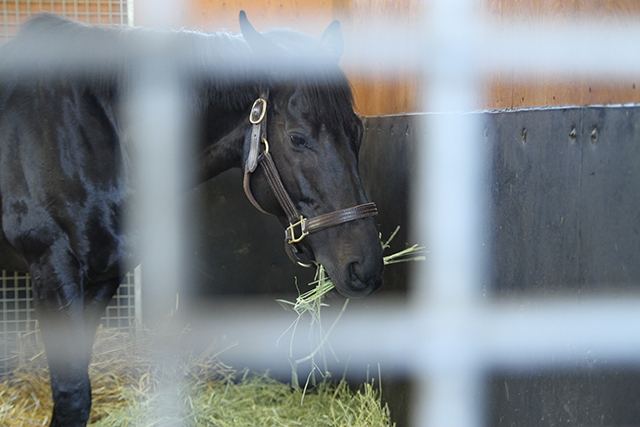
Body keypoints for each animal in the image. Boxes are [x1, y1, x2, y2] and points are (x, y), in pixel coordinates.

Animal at [0, 10, 380, 427]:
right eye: (297, 138)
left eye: (358, 130)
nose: (365, 268)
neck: (94, 134)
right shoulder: (53, 268)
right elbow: (72, 395)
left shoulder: (103, 274)